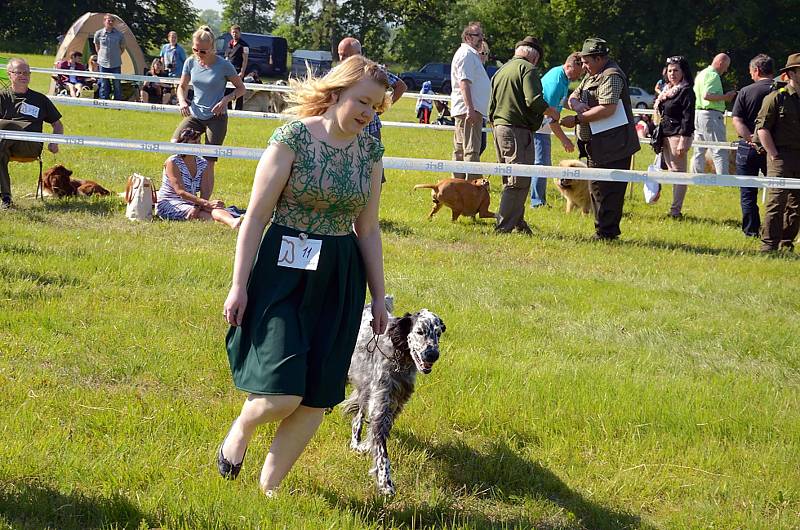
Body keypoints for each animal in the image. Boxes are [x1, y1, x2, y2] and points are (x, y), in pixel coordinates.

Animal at [342, 294, 446, 492]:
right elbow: (382, 450)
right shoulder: (381, 405)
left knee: (357, 418)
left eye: (438, 333)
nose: (433, 355)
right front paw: (385, 481)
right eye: (420, 332)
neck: (399, 357)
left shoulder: (393, 404)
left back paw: (356, 444)